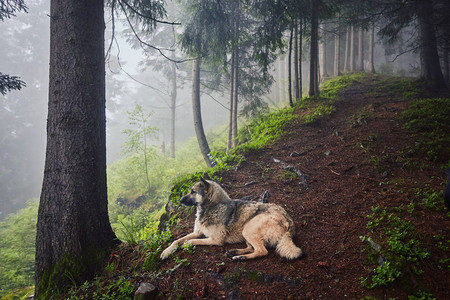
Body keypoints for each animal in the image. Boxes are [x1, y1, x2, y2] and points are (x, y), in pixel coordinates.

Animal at [160, 178, 304, 260]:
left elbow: (192, 241)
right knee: (252, 248)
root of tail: (290, 224)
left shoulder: (215, 240)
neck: (212, 206)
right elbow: (177, 240)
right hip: (247, 232)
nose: (180, 200)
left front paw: (186, 244)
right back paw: (235, 252)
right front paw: (166, 251)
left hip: (249, 228)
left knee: (262, 251)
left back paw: (240, 257)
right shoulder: (197, 232)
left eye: (193, 191)